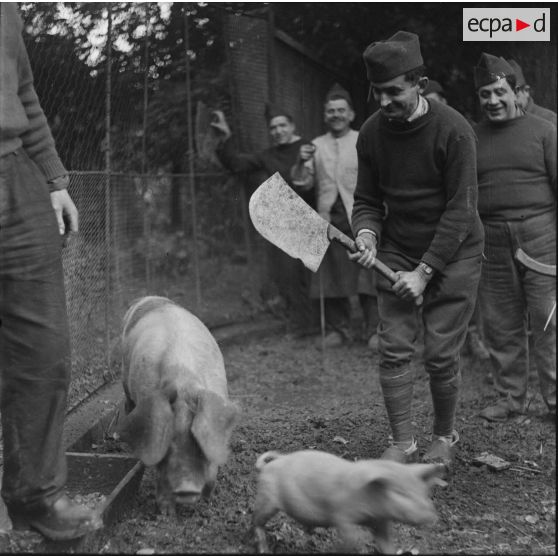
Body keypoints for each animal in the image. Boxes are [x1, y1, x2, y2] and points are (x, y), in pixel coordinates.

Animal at [118, 296, 241, 520]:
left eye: (197, 441)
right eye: (168, 442)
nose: (187, 489)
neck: (182, 379)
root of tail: (148, 297)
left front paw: (208, 500)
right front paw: (166, 514)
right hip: (124, 374)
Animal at [254, 450, 446, 556]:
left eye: (423, 492)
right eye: (400, 493)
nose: (432, 516)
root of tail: (265, 467)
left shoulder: (380, 521)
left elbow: (386, 543)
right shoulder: (341, 513)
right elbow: (352, 537)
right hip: (267, 498)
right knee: (256, 521)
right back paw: (264, 549)